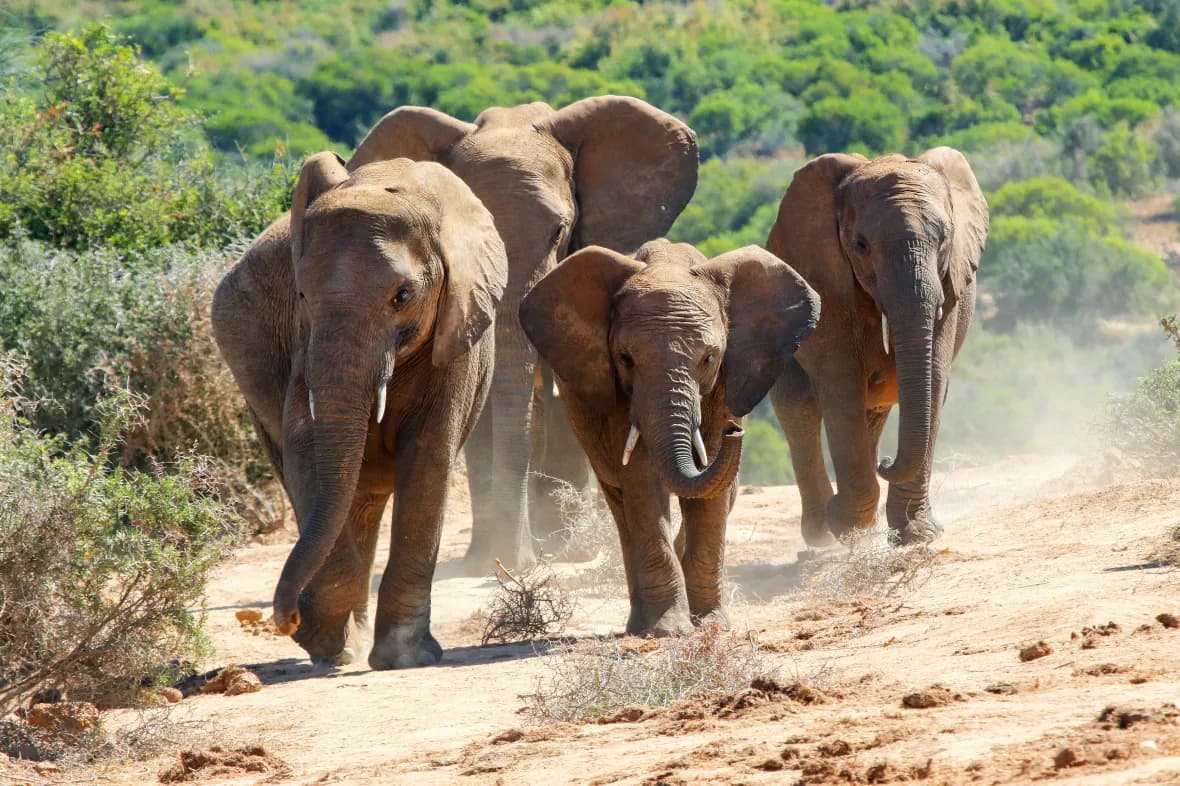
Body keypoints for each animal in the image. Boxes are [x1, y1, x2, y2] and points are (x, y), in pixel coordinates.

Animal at [211, 152, 507, 668]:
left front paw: (406, 658)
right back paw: (342, 643)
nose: (284, 619)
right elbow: (308, 452)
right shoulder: (304, 345)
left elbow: (428, 458)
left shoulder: (457, 333)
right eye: (301, 297)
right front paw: (326, 640)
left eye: (402, 297)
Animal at [520, 240, 819, 635]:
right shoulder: (621, 394)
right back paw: (639, 625)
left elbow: (711, 495)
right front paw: (667, 630)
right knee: (621, 505)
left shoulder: (727, 379)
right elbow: (642, 480)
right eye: (625, 358)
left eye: (709, 358)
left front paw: (710, 624)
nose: (735, 430)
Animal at [766, 147, 988, 546]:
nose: (887, 464)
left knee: (873, 409)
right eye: (861, 245)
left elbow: (934, 379)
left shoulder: (952, 289)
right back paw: (822, 534)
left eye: (944, 240)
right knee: (798, 406)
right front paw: (843, 524)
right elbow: (841, 383)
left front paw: (916, 534)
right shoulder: (826, 281)